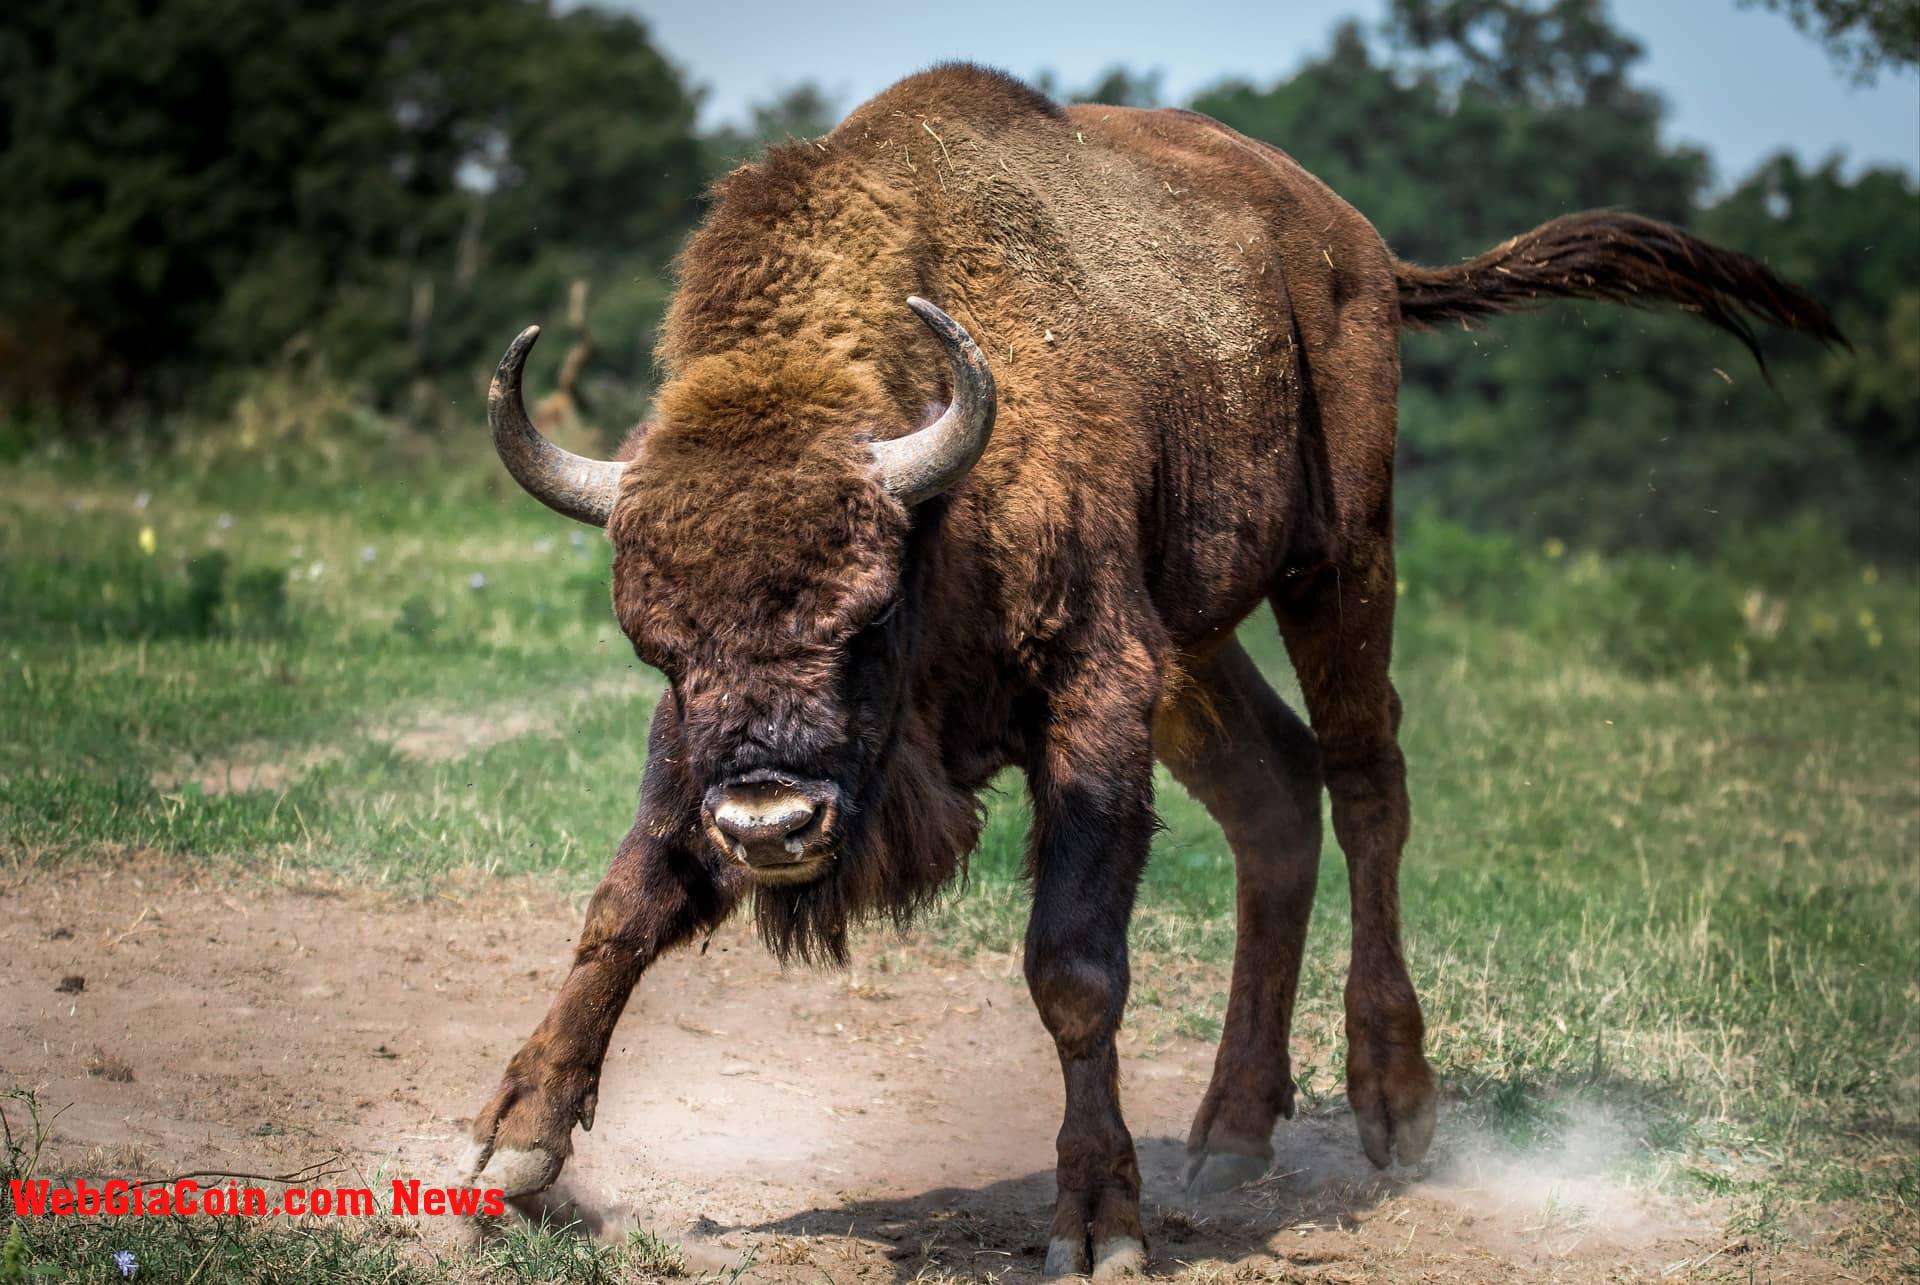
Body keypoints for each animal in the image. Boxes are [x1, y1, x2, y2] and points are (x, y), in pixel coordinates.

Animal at [456, 62, 1835, 1275]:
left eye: (870, 613)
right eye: (656, 641)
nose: (768, 823)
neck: (941, 495)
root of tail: (1355, 249)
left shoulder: (1095, 691)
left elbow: (1073, 967)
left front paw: (1098, 1223)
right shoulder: (705, 750)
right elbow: (626, 901)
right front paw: (510, 1155)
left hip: (1339, 559)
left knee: (1365, 783)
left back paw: (1394, 1105)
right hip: (1196, 643)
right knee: (1275, 797)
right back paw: (1229, 1135)